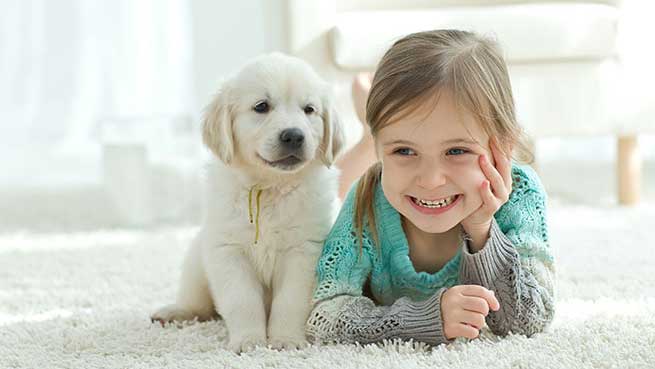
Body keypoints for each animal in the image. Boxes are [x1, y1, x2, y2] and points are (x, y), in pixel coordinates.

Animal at [152, 53, 346, 352]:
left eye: (309, 109)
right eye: (261, 106)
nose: (294, 135)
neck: (269, 186)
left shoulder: (304, 251)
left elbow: (290, 301)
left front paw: (285, 340)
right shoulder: (228, 251)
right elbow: (242, 301)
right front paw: (249, 341)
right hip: (196, 263)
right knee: (198, 304)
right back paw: (173, 312)